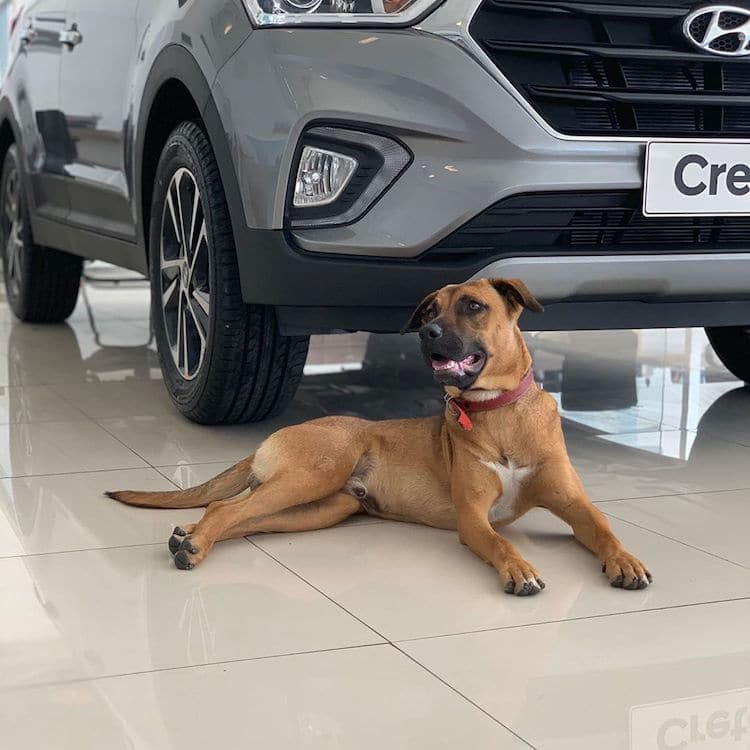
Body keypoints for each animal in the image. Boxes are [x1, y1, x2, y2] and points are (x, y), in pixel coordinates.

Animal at [107, 280, 652, 596]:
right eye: (429, 311)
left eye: (473, 306)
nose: (427, 334)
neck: (500, 411)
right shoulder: (473, 517)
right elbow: (500, 542)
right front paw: (518, 568)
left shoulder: (573, 502)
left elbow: (603, 528)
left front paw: (626, 559)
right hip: (317, 473)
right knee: (225, 508)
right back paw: (195, 543)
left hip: (323, 507)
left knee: (243, 516)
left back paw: (189, 536)